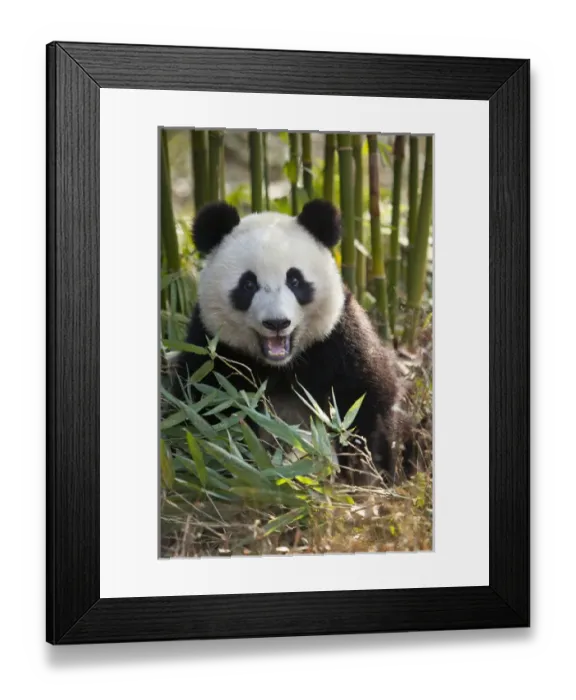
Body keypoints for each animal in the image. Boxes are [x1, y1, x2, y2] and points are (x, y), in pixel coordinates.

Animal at [171, 198, 410, 482]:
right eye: (248, 284)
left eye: (295, 280)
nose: (277, 323)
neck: (281, 365)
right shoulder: (212, 351)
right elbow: (207, 415)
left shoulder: (339, 341)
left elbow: (367, 401)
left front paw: (365, 472)